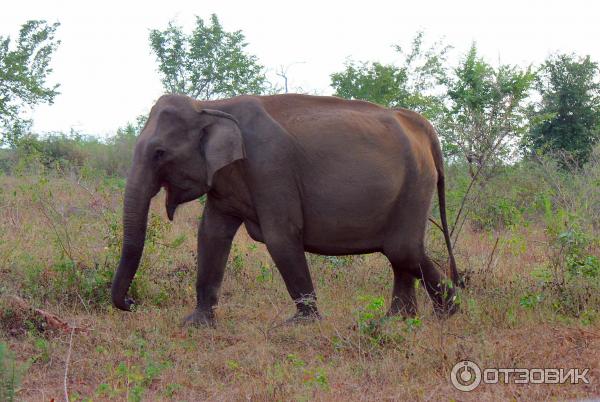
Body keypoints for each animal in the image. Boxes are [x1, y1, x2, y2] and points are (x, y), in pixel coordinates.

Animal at [111, 94, 460, 326]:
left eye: (159, 152)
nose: (130, 302)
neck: (211, 105)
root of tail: (422, 127)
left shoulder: (270, 166)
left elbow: (280, 237)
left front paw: (300, 325)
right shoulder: (226, 179)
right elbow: (210, 235)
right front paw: (196, 323)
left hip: (416, 184)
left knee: (402, 250)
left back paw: (449, 315)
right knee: (400, 253)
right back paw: (396, 322)